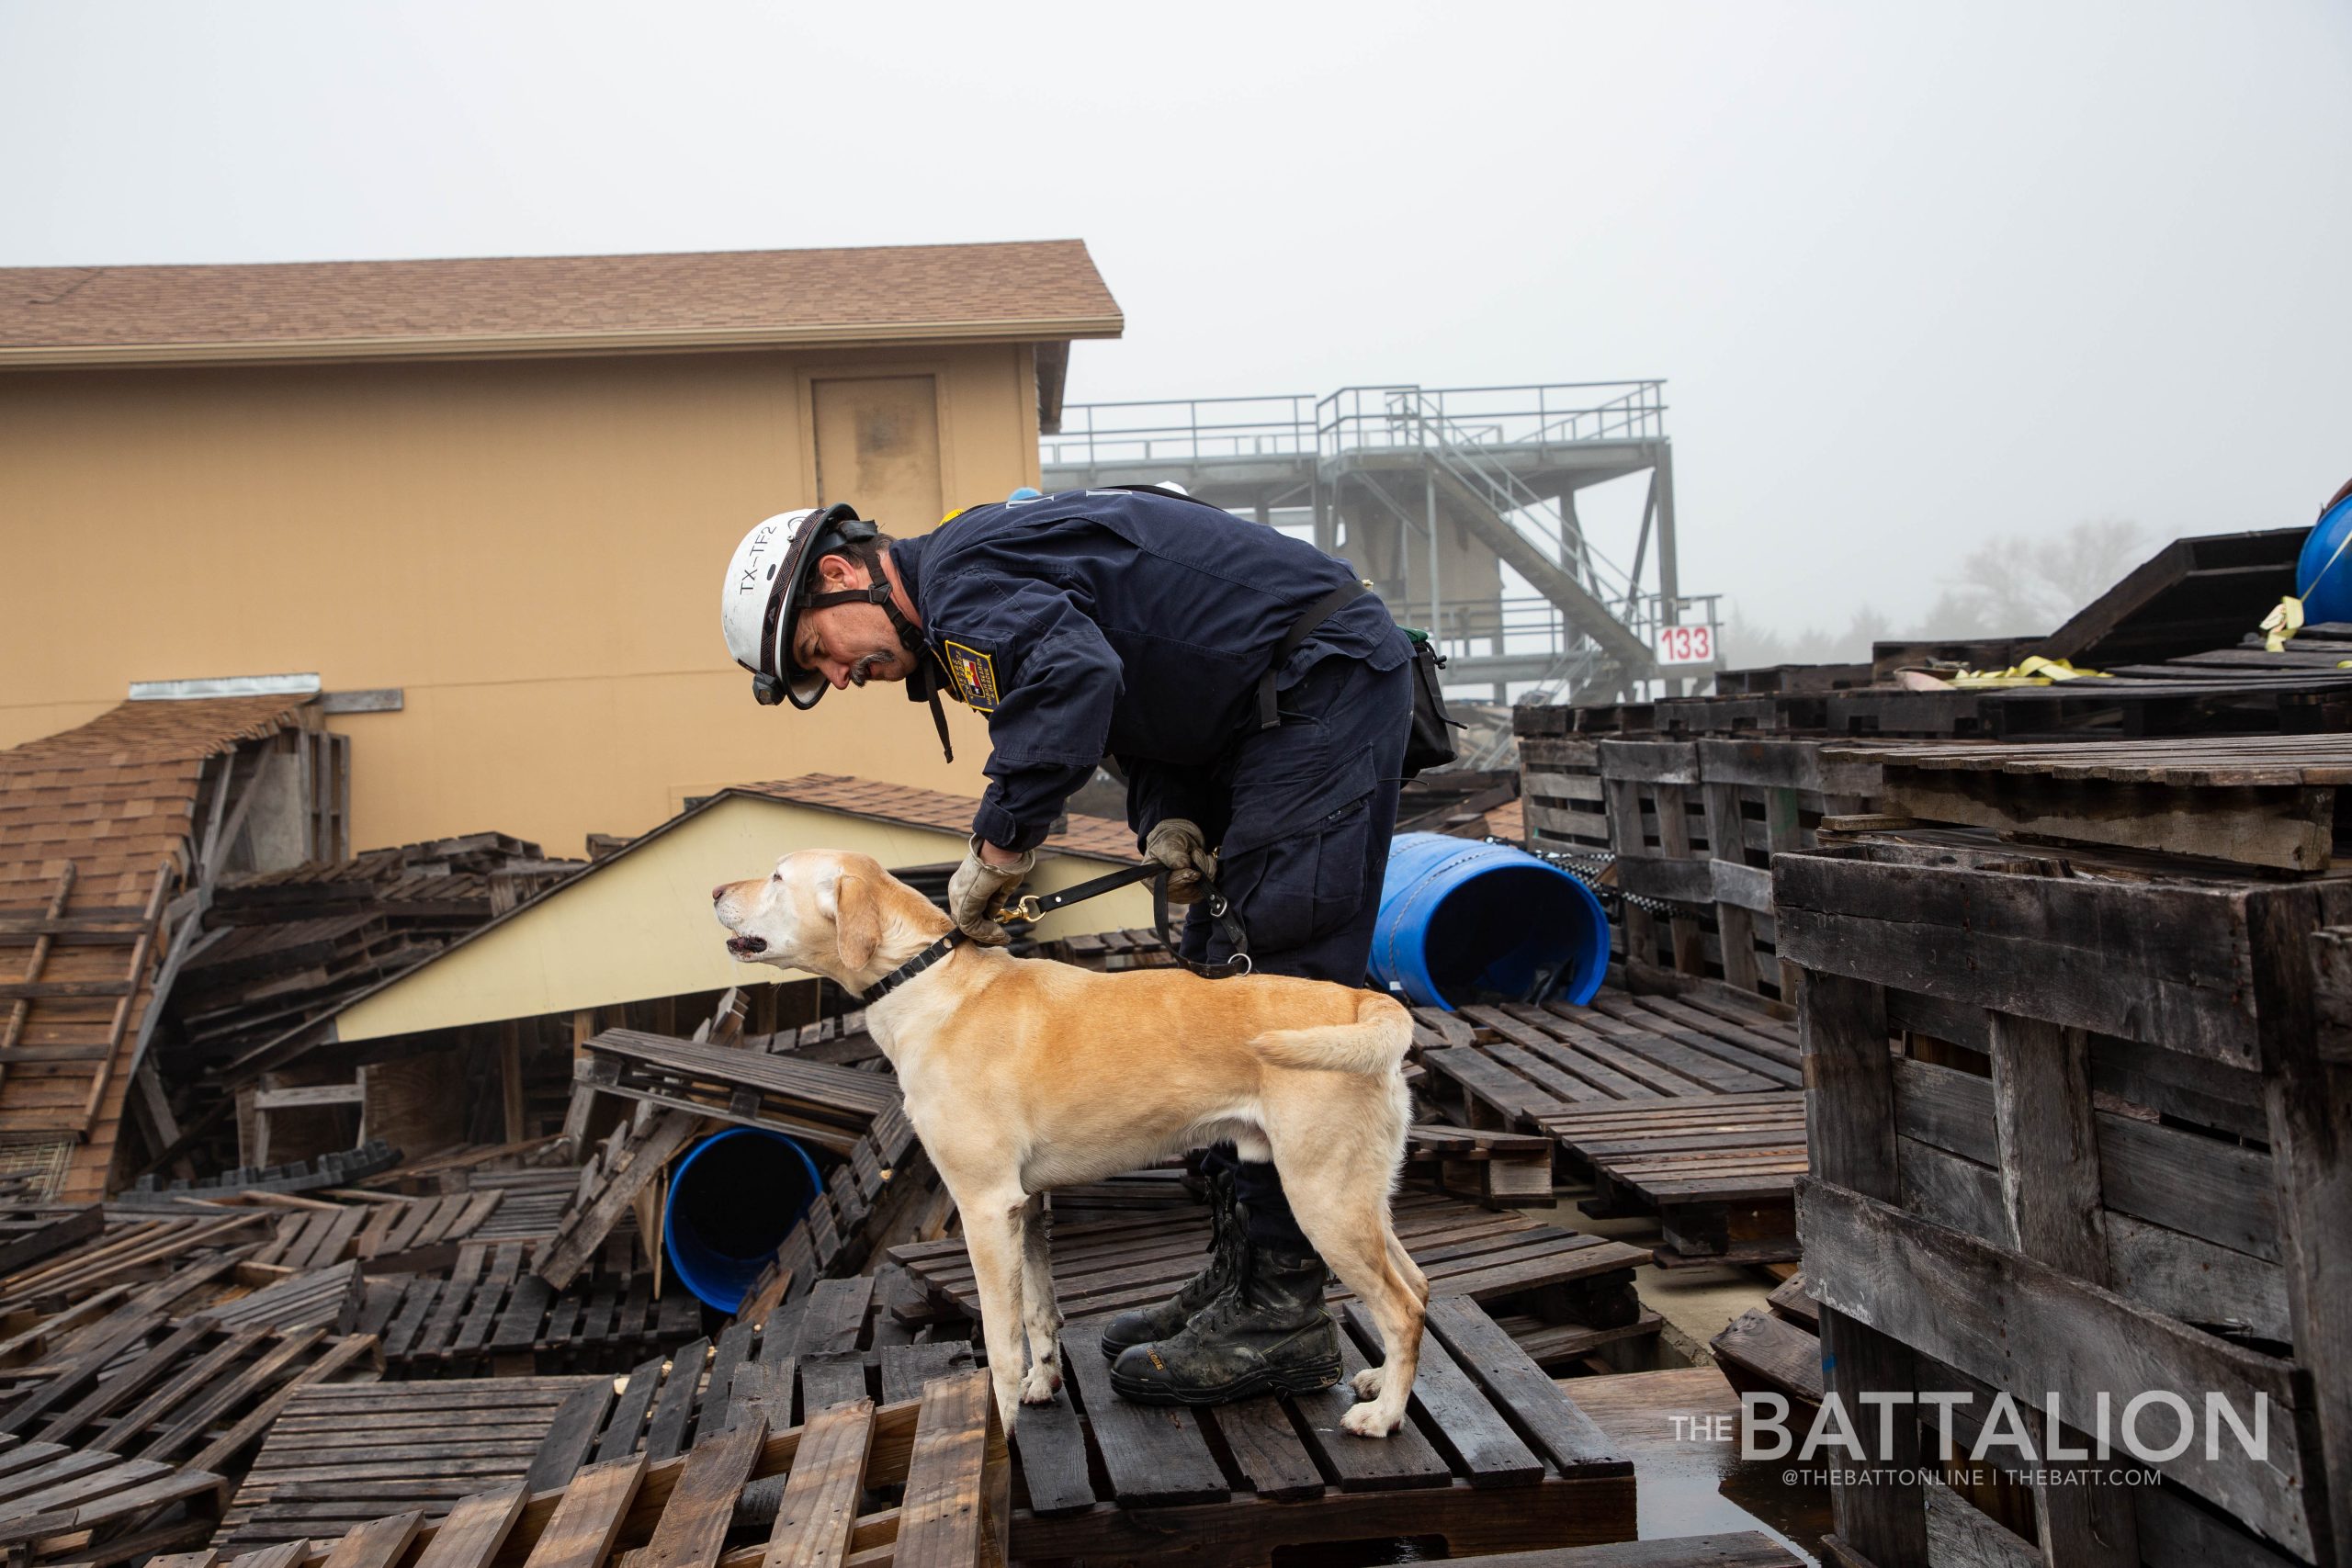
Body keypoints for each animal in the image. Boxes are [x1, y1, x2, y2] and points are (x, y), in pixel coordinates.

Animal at [706, 851, 1420, 1438]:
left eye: (776, 876)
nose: (712, 889)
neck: (925, 982)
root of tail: (1363, 1003)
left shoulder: (984, 1208)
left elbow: (999, 1340)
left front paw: (998, 1433)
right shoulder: (1024, 1206)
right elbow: (1039, 1315)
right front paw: (1044, 1382)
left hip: (1322, 1197)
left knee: (1403, 1309)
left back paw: (1383, 1416)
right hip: (1360, 1197)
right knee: (1417, 1285)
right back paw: (1379, 1380)